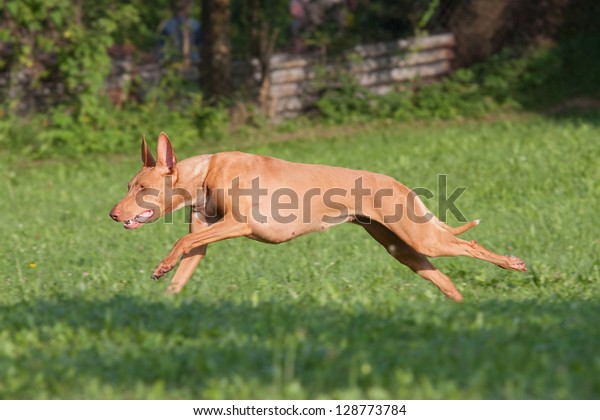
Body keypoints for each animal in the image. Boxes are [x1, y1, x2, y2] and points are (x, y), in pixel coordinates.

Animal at [110, 133, 528, 300]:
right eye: (129, 184)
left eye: (141, 188)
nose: (113, 215)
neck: (205, 173)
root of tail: (397, 182)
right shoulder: (204, 241)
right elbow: (185, 260)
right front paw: (166, 292)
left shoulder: (239, 224)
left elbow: (181, 240)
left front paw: (162, 265)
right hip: (403, 250)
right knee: (445, 281)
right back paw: (462, 306)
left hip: (423, 239)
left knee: (469, 244)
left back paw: (513, 264)